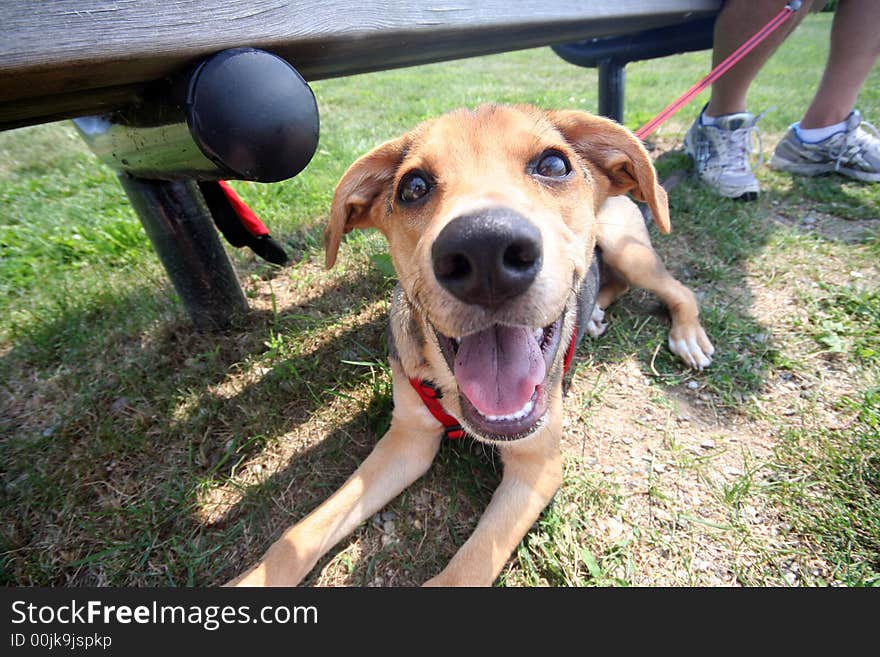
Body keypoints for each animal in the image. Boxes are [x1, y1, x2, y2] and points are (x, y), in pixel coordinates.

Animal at [230, 105, 712, 588]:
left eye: (554, 165)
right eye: (413, 187)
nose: (485, 249)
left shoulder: (537, 467)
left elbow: (468, 568)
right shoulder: (406, 440)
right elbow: (300, 533)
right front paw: (252, 581)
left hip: (627, 248)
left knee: (676, 289)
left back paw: (687, 337)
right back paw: (593, 316)